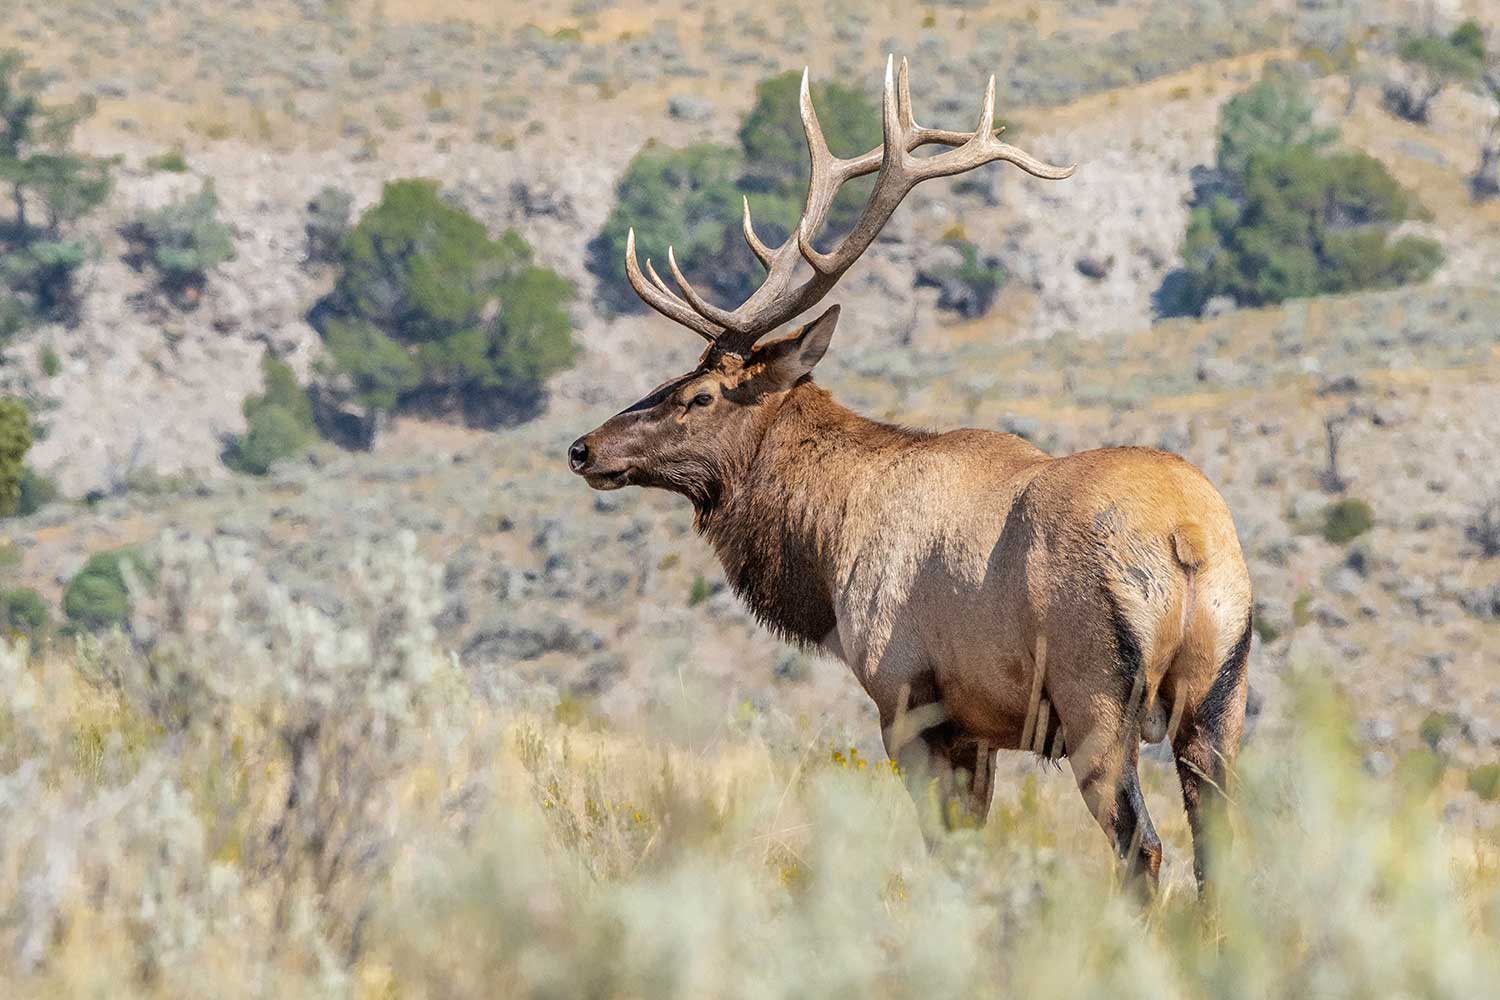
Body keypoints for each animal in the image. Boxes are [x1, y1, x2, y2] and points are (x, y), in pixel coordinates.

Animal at [567, 60, 1248, 893]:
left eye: (700, 395)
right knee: (1220, 847)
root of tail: (1187, 540)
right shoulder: (980, 725)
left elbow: (944, 849)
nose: (585, 448)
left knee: (1140, 846)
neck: (825, 555)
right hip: (1220, 695)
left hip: (1096, 696)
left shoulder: (906, 697)